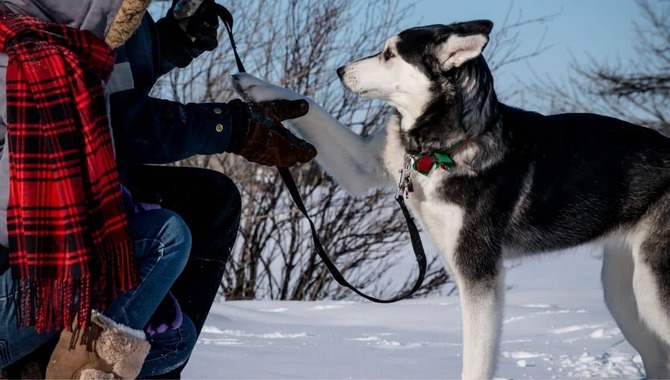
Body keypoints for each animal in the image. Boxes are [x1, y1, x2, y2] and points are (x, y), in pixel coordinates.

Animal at [234, 19, 670, 378]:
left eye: (389, 54)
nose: (340, 70)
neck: (441, 148)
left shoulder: (478, 273)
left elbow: (476, 362)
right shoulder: (365, 165)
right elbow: (312, 109)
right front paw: (254, 84)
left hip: (652, 290)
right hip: (626, 296)